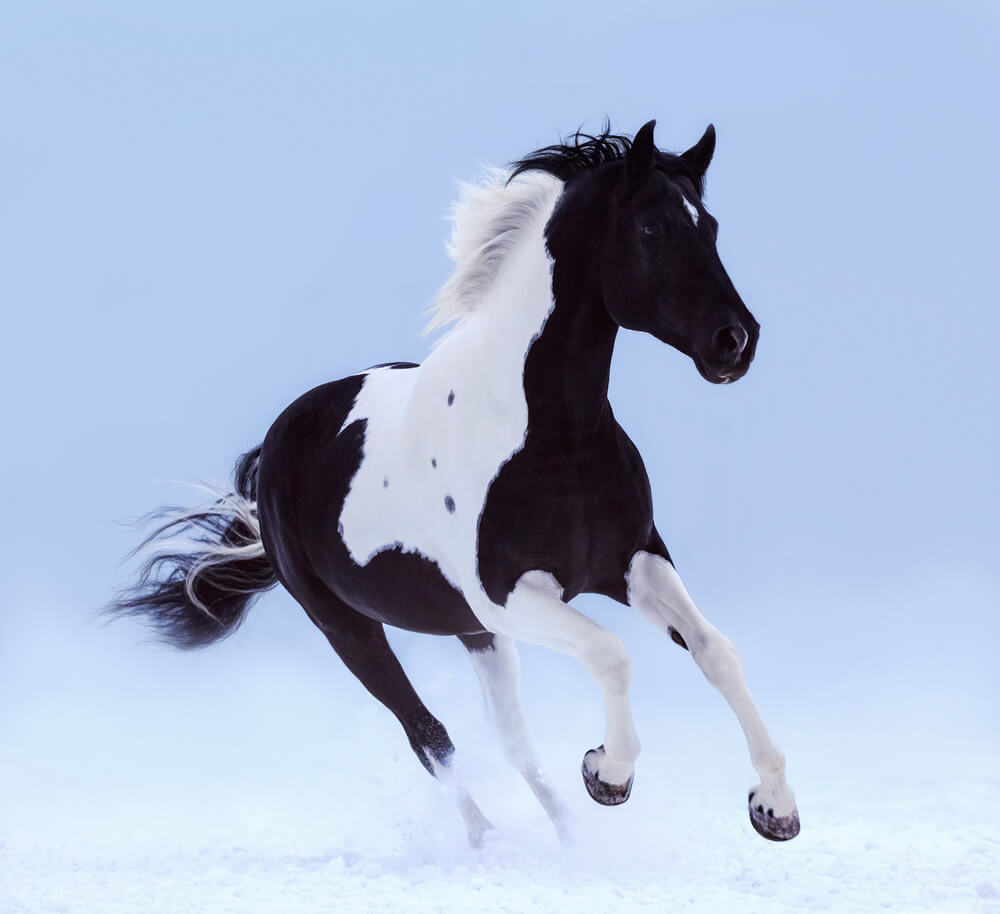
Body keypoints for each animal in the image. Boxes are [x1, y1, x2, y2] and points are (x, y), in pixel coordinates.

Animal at [111, 120, 800, 846]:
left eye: (711, 226)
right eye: (650, 227)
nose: (735, 341)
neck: (555, 440)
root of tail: (276, 444)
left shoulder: (631, 562)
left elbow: (716, 651)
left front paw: (774, 808)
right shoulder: (509, 596)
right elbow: (612, 655)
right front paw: (607, 773)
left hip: (473, 632)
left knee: (511, 739)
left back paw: (569, 844)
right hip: (349, 628)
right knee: (429, 736)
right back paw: (488, 841)